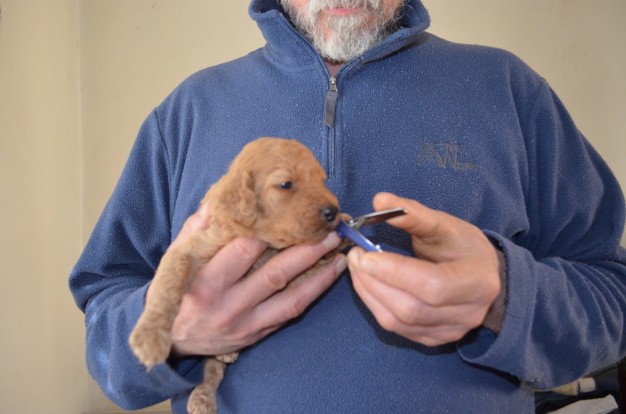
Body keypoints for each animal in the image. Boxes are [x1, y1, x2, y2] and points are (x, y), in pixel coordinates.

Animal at [129, 137, 347, 414]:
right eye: (286, 184)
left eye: (321, 180)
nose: (333, 211)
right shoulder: (189, 249)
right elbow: (166, 289)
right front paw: (150, 339)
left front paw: (340, 237)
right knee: (211, 371)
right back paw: (203, 395)